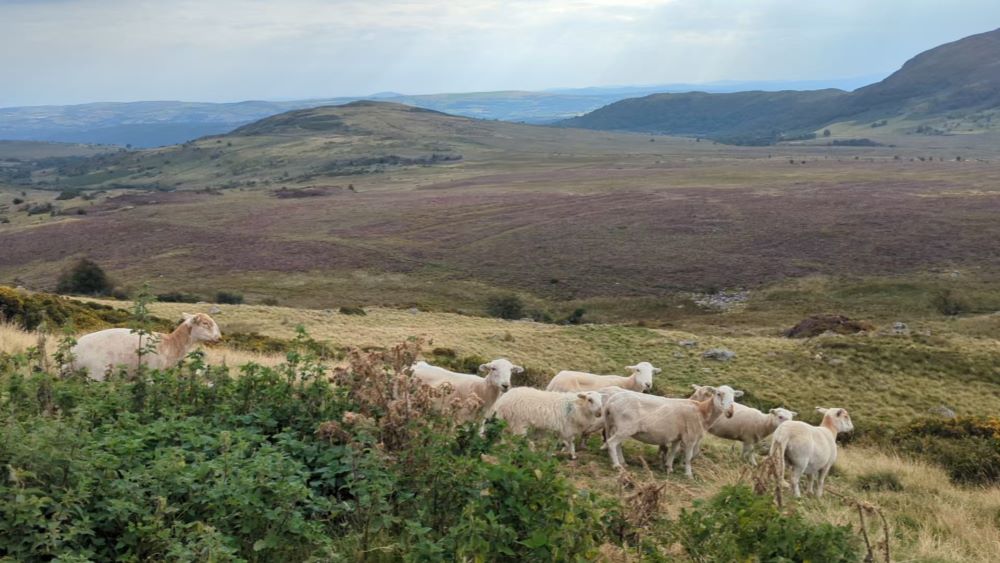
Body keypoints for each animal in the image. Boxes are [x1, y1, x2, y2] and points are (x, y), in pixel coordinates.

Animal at [69, 313, 221, 381]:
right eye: (205, 323)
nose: (219, 337)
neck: (171, 344)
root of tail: (74, 350)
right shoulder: (150, 374)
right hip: (96, 373)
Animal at [602, 385, 743, 477]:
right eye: (718, 394)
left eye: (734, 397)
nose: (730, 412)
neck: (701, 412)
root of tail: (611, 402)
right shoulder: (690, 438)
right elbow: (688, 457)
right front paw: (688, 474)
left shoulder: (677, 436)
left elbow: (673, 452)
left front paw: (669, 468)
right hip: (626, 426)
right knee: (612, 443)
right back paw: (617, 465)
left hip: (616, 426)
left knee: (617, 444)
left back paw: (623, 462)